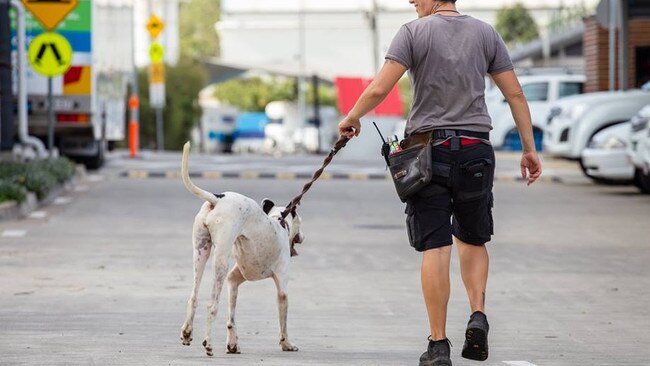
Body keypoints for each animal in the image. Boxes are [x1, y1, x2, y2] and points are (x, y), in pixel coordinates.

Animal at [180, 142, 304, 354]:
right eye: (301, 223)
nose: (302, 238)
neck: (278, 221)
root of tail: (218, 198)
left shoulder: (234, 280)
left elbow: (231, 318)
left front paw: (232, 343)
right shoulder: (282, 289)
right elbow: (283, 322)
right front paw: (286, 344)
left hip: (200, 253)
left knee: (193, 297)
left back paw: (187, 332)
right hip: (220, 261)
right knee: (211, 304)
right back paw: (208, 343)